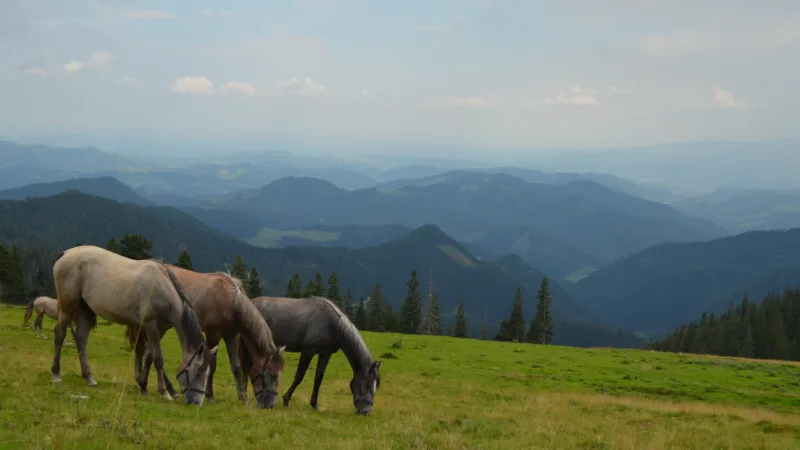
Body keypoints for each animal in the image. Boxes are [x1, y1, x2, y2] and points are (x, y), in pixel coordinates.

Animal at [51, 244, 217, 406]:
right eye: (198, 372)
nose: (196, 402)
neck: (162, 288)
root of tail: (66, 253)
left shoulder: (160, 329)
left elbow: (149, 356)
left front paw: (143, 386)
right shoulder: (150, 325)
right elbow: (158, 359)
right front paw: (164, 392)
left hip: (85, 310)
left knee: (81, 339)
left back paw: (89, 378)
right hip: (67, 305)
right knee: (60, 333)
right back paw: (56, 374)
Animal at [126, 264, 286, 408]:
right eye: (273, 375)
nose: (270, 405)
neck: (232, 300)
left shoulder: (230, 336)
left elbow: (236, 367)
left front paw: (243, 398)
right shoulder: (213, 333)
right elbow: (212, 366)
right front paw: (210, 395)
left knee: (149, 353)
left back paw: (147, 385)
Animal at [244, 296, 382, 414]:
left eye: (375, 387)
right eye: (366, 384)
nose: (365, 412)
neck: (333, 325)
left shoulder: (325, 354)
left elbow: (318, 379)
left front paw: (315, 405)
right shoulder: (308, 351)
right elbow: (299, 377)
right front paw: (286, 400)